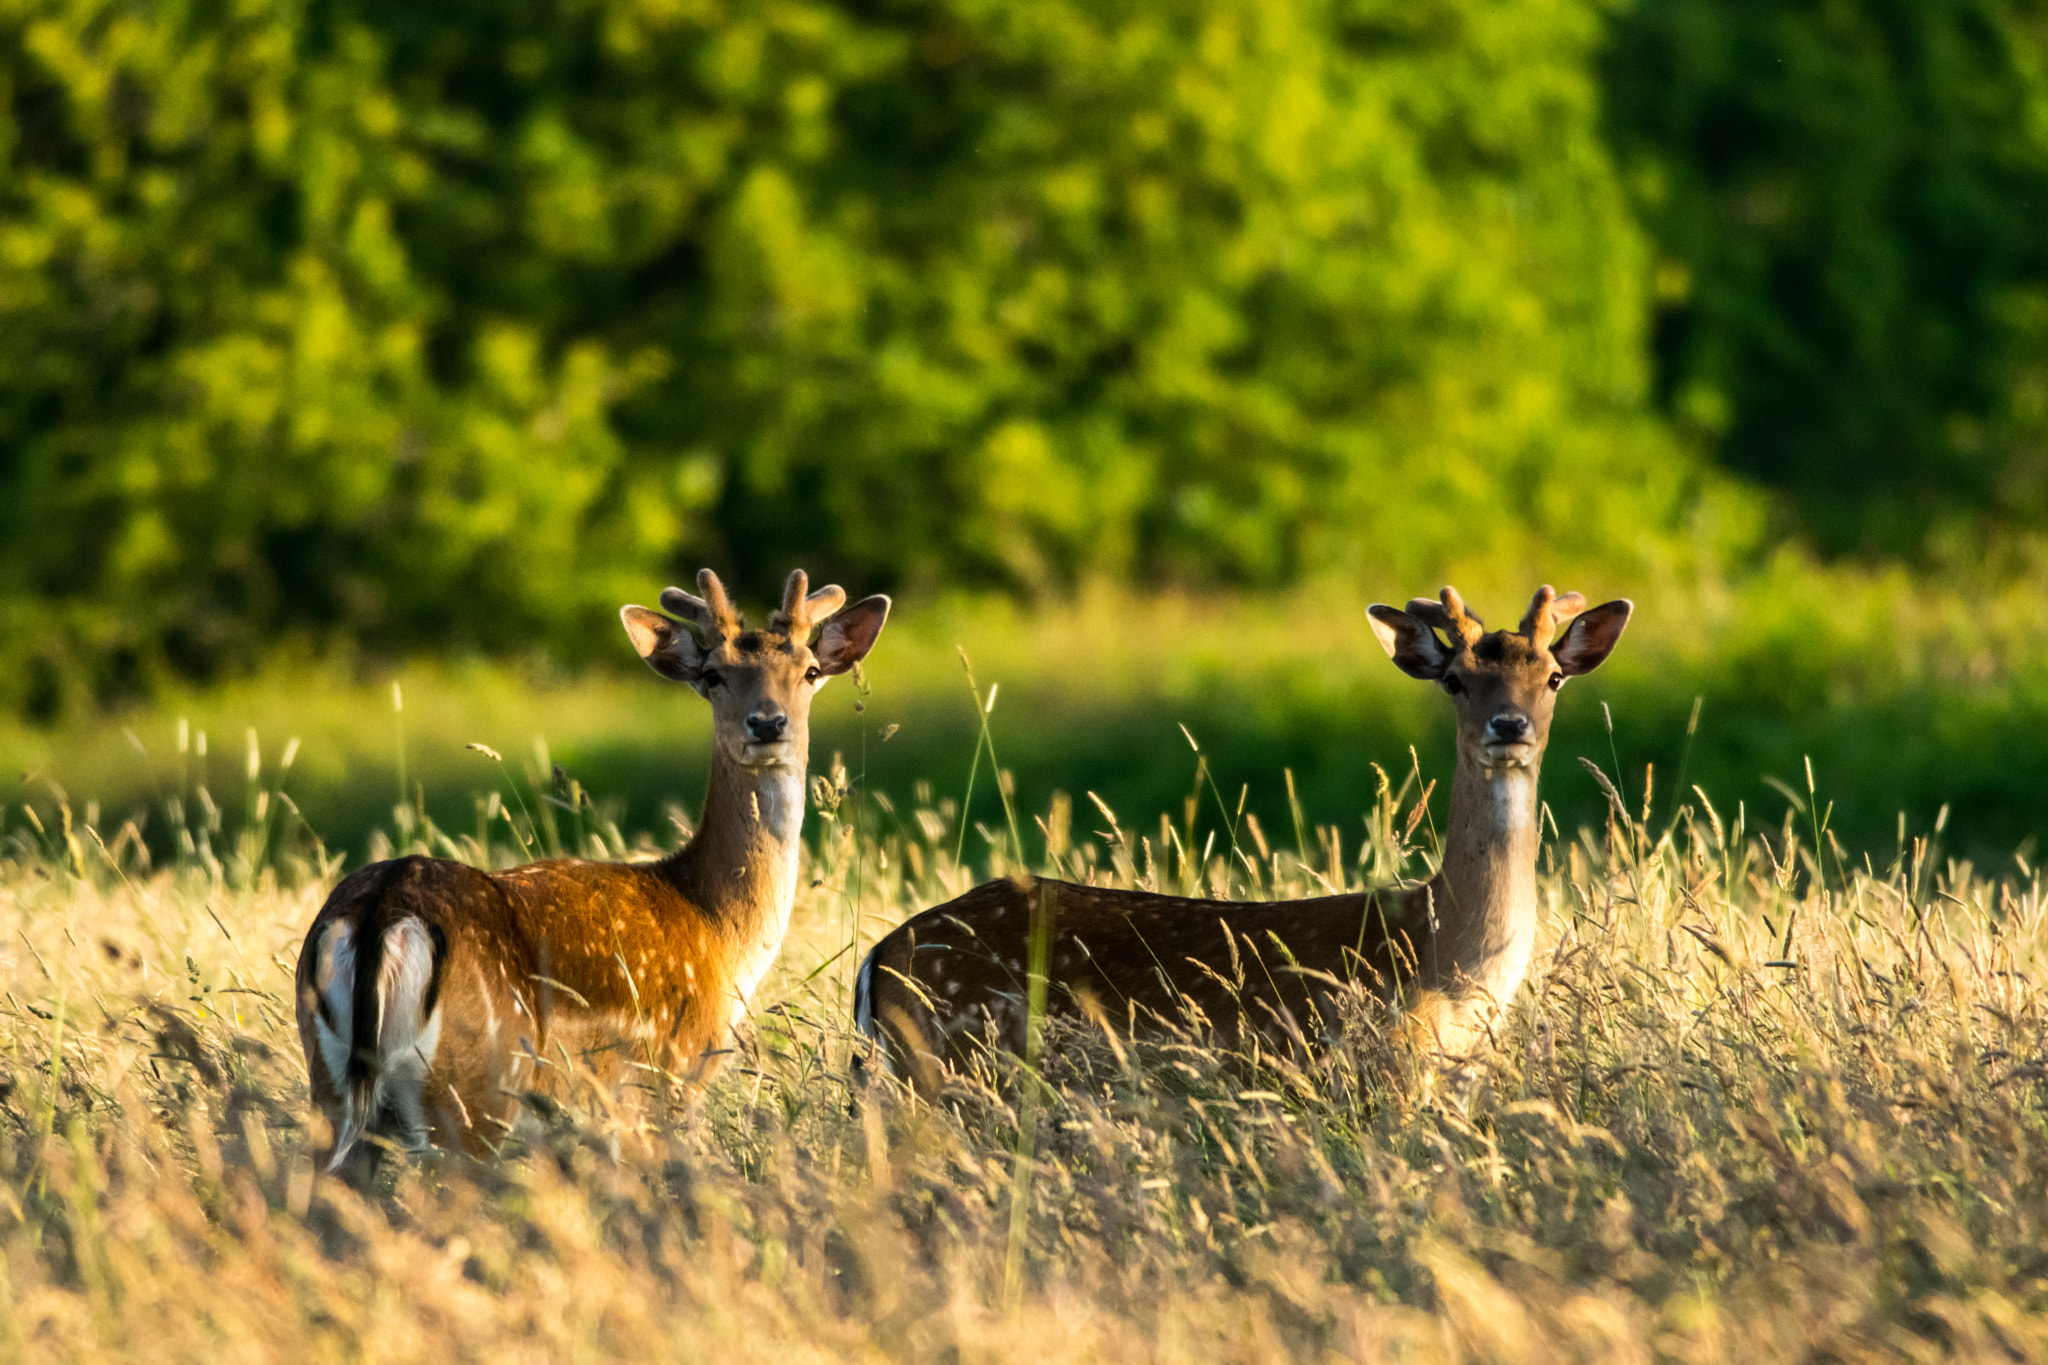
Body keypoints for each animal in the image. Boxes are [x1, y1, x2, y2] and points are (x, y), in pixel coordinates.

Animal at [294, 568, 888, 1178]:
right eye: (713, 674)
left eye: (810, 671)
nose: (768, 723)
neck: (718, 930)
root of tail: (382, 913)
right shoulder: (665, 1082)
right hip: (475, 1093)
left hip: (330, 1088)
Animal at [851, 585, 1630, 1088]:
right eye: (1456, 680)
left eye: (1553, 677)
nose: (1509, 726)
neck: (1450, 959)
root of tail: (877, 959)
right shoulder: (1383, 1071)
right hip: (954, 1068)